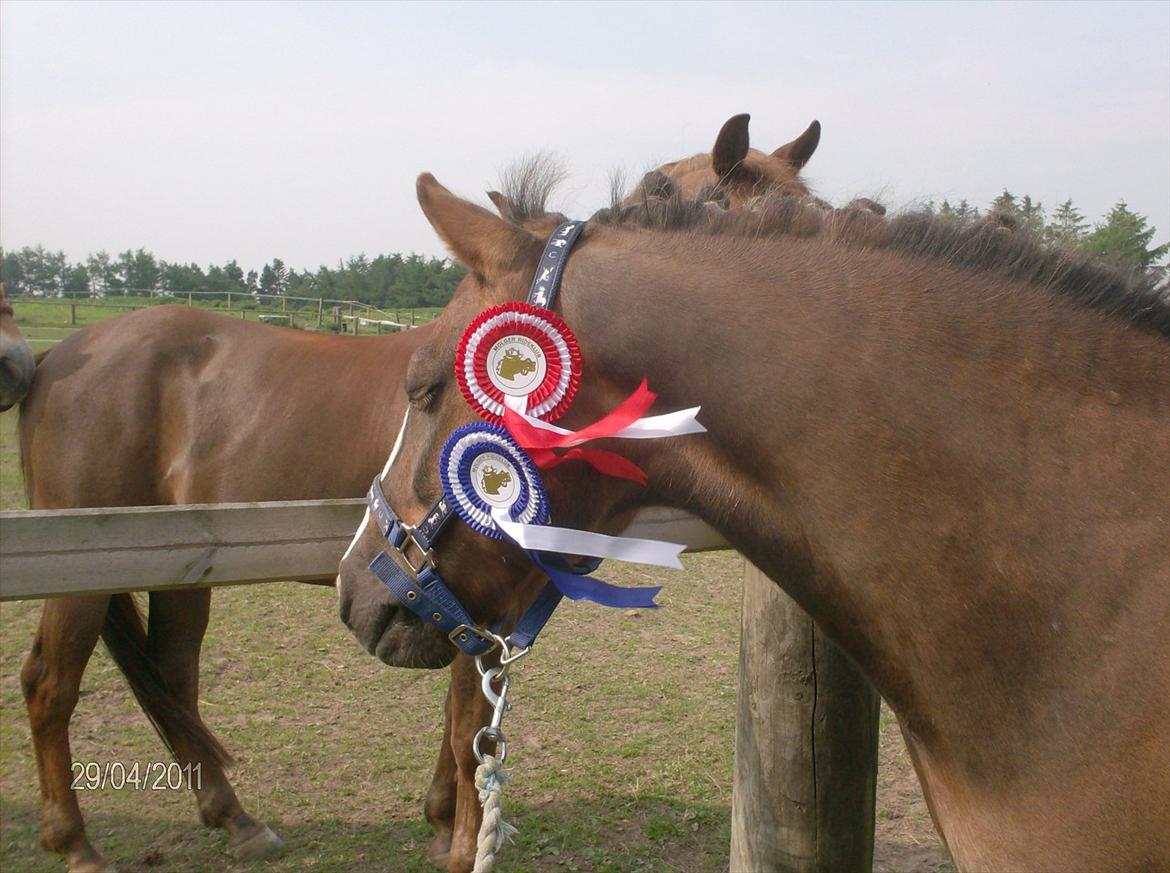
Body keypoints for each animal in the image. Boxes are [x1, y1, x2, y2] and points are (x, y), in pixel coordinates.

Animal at [14, 115, 825, 873]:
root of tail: (58, 356)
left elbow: (461, 720)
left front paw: (442, 818)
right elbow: (469, 727)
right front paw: (465, 839)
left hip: (183, 574)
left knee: (173, 679)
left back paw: (235, 818)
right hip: (85, 576)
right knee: (50, 684)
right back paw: (75, 841)